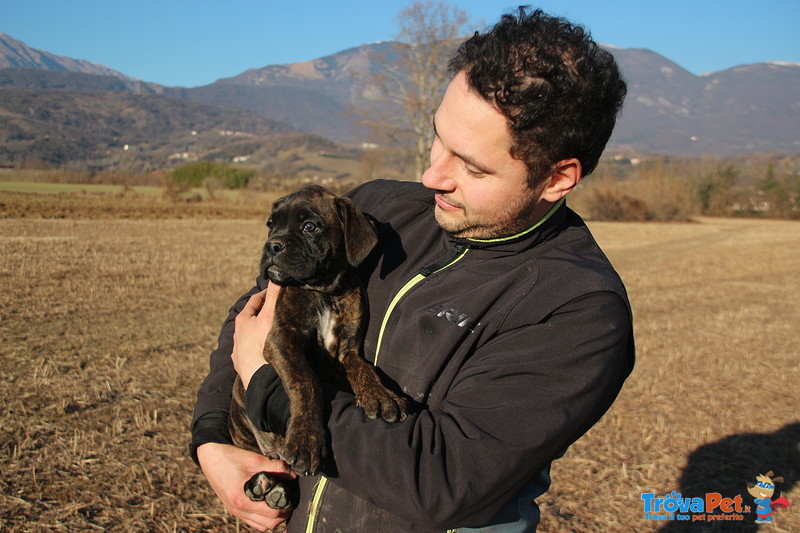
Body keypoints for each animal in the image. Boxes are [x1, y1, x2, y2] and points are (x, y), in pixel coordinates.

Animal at [228, 185, 410, 512]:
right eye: (270, 224)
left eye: (309, 227)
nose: (271, 246)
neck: (323, 291)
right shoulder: (281, 340)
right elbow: (306, 382)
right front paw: (306, 440)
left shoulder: (346, 353)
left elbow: (364, 370)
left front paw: (381, 395)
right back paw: (261, 482)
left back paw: (278, 489)